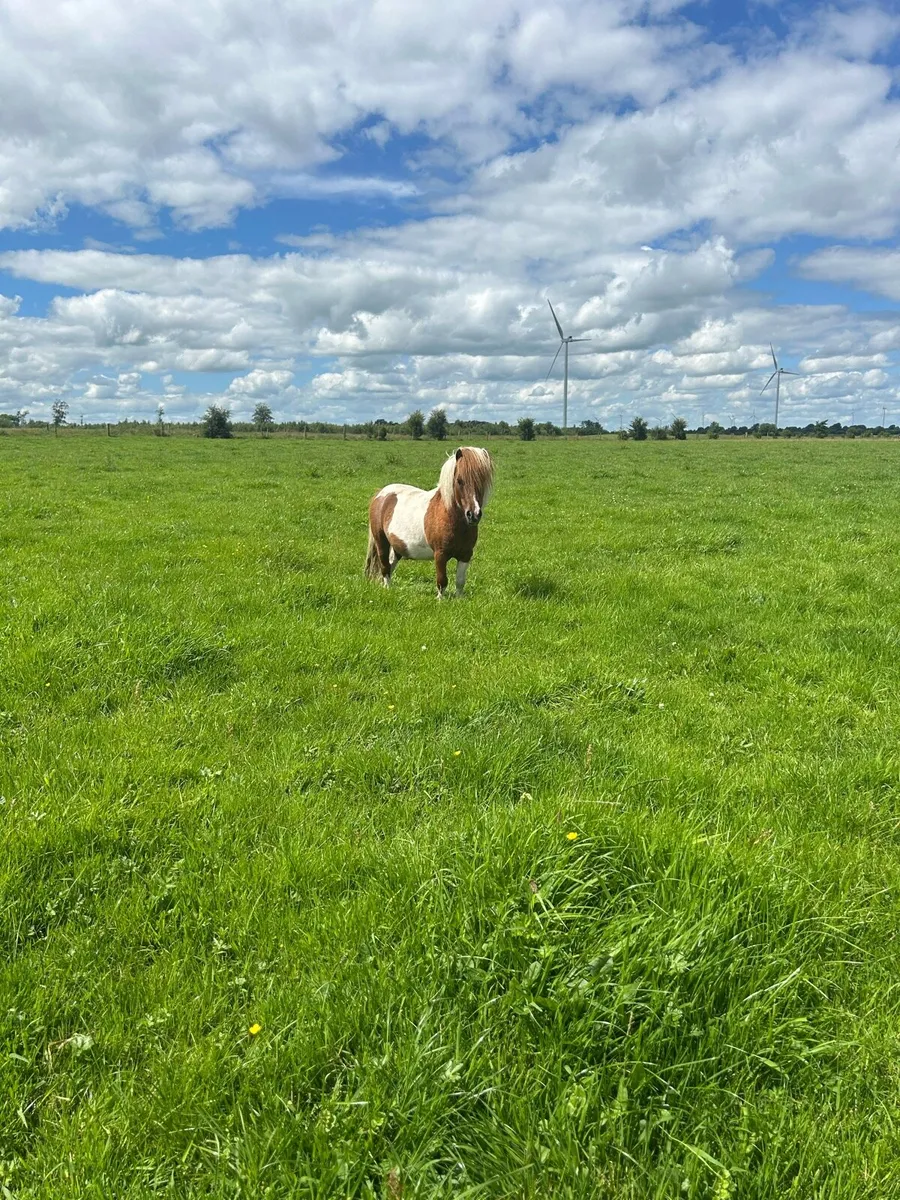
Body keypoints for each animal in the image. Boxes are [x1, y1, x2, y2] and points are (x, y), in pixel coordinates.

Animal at [365, 446, 495, 598]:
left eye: (482, 481)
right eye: (459, 481)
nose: (473, 515)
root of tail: (381, 494)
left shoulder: (466, 554)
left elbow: (460, 581)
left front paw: (459, 599)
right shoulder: (440, 554)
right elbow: (442, 581)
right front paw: (440, 600)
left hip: (398, 546)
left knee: (391, 565)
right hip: (381, 542)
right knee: (385, 567)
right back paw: (387, 589)